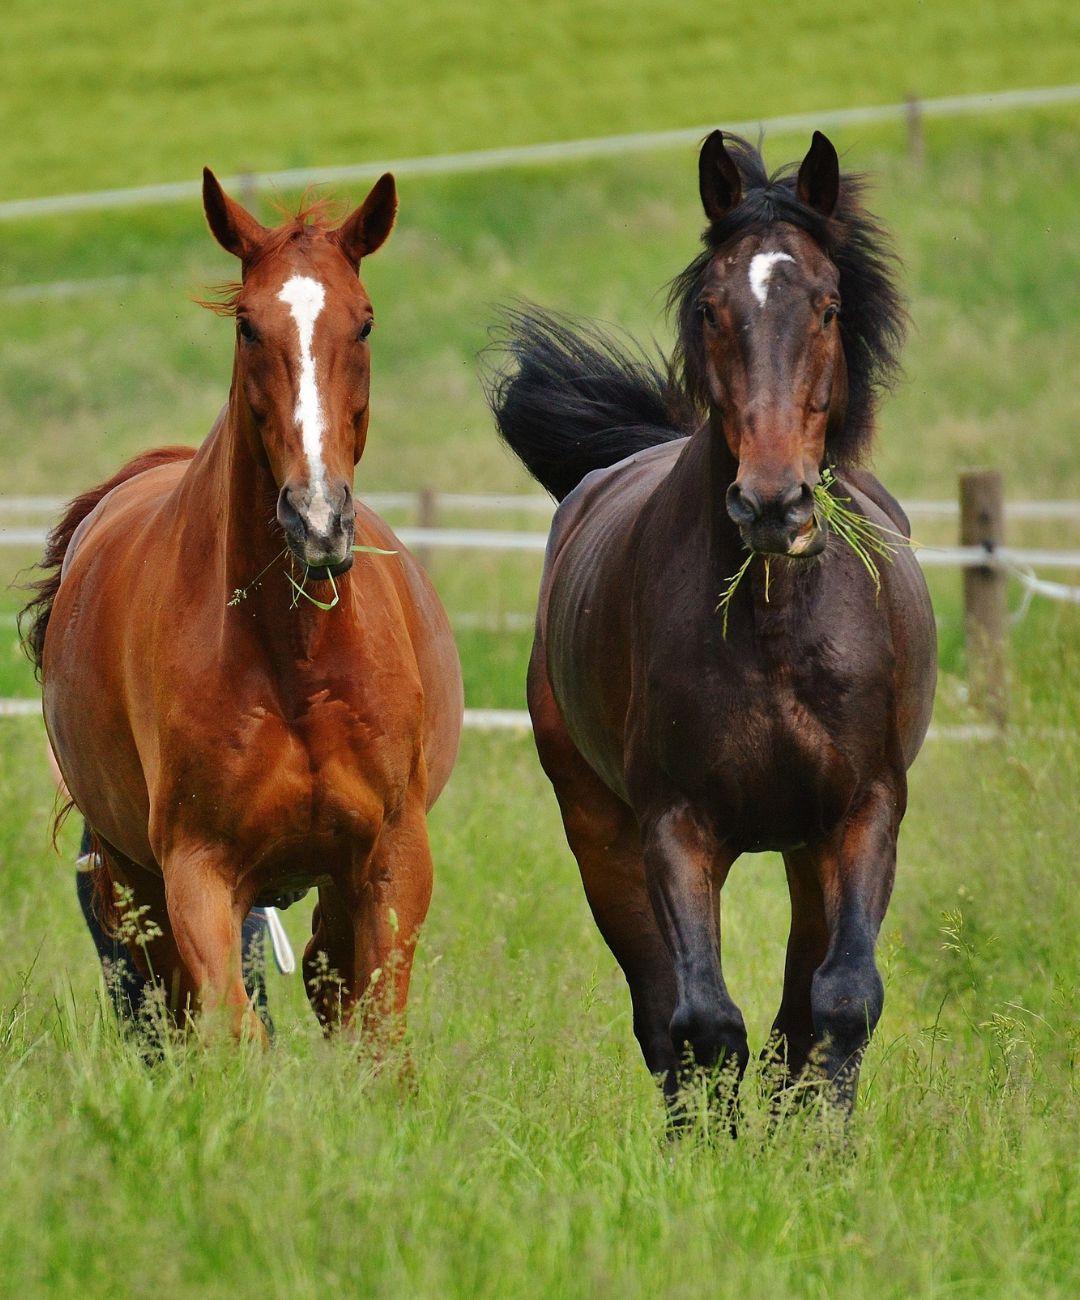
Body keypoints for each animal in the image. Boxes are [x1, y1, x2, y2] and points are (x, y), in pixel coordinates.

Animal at [25, 175, 462, 1045]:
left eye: (364, 320)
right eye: (247, 325)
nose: (317, 519)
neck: (295, 656)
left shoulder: (392, 860)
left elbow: (376, 1037)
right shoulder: (198, 871)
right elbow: (233, 1030)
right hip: (137, 882)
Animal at [488, 131, 935, 1112]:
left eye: (829, 306)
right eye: (710, 306)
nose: (772, 503)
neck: (775, 630)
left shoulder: (864, 810)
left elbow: (840, 1001)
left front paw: (821, 1145)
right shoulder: (675, 826)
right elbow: (702, 1025)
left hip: (807, 850)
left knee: (799, 1005)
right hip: (600, 834)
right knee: (664, 1018)